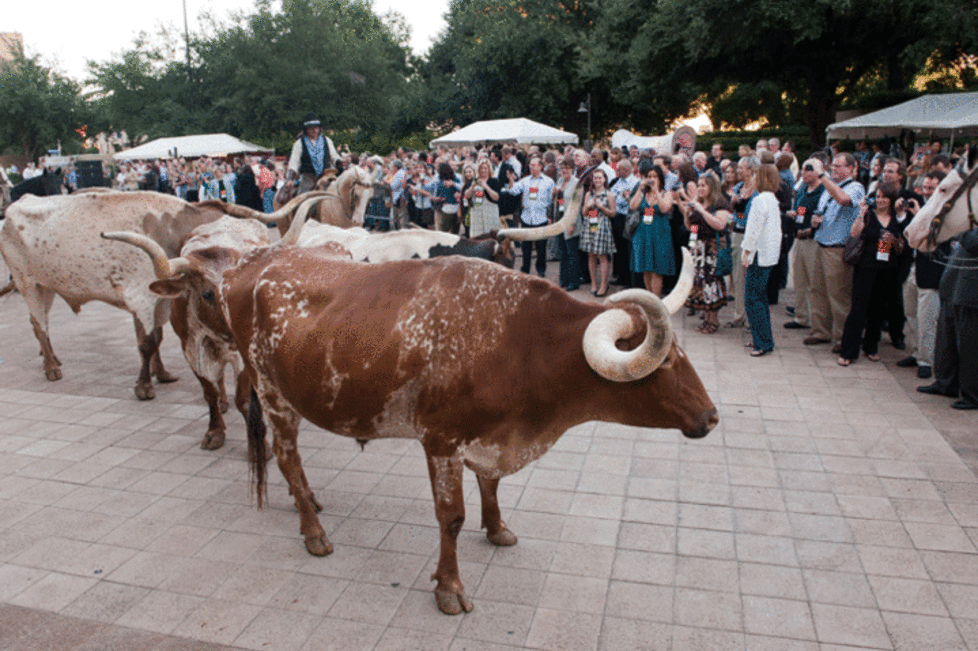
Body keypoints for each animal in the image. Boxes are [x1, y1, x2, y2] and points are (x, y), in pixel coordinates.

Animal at [116, 225, 716, 616]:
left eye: (684, 357)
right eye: (663, 365)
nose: (711, 417)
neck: (518, 336)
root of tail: (252, 263)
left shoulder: (487, 437)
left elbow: (490, 485)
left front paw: (496, 528)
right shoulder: (442, 441)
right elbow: (450, 517)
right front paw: (449, 587)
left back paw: (309, 504)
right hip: (272, 392)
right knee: (286, 457)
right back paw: (313, 531)